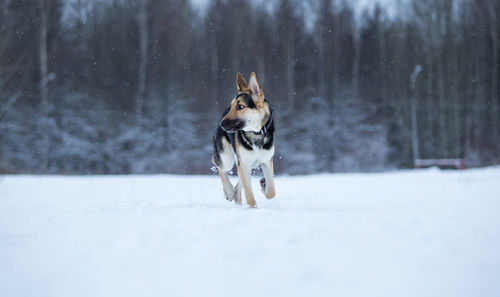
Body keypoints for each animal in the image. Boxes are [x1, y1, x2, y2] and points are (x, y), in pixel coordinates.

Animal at [213, 72, 278, 207]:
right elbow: (250, 196)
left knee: (239, 183)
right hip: (227, 159)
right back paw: (229, 191)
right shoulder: (244, 164)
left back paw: (236, 196)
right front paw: (253, 208)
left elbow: (271, 192)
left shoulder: (266, 161)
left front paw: (264, 185)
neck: (256, 132)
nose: (221, 123)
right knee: (220, 166)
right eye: (232, 106)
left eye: (240, 106)